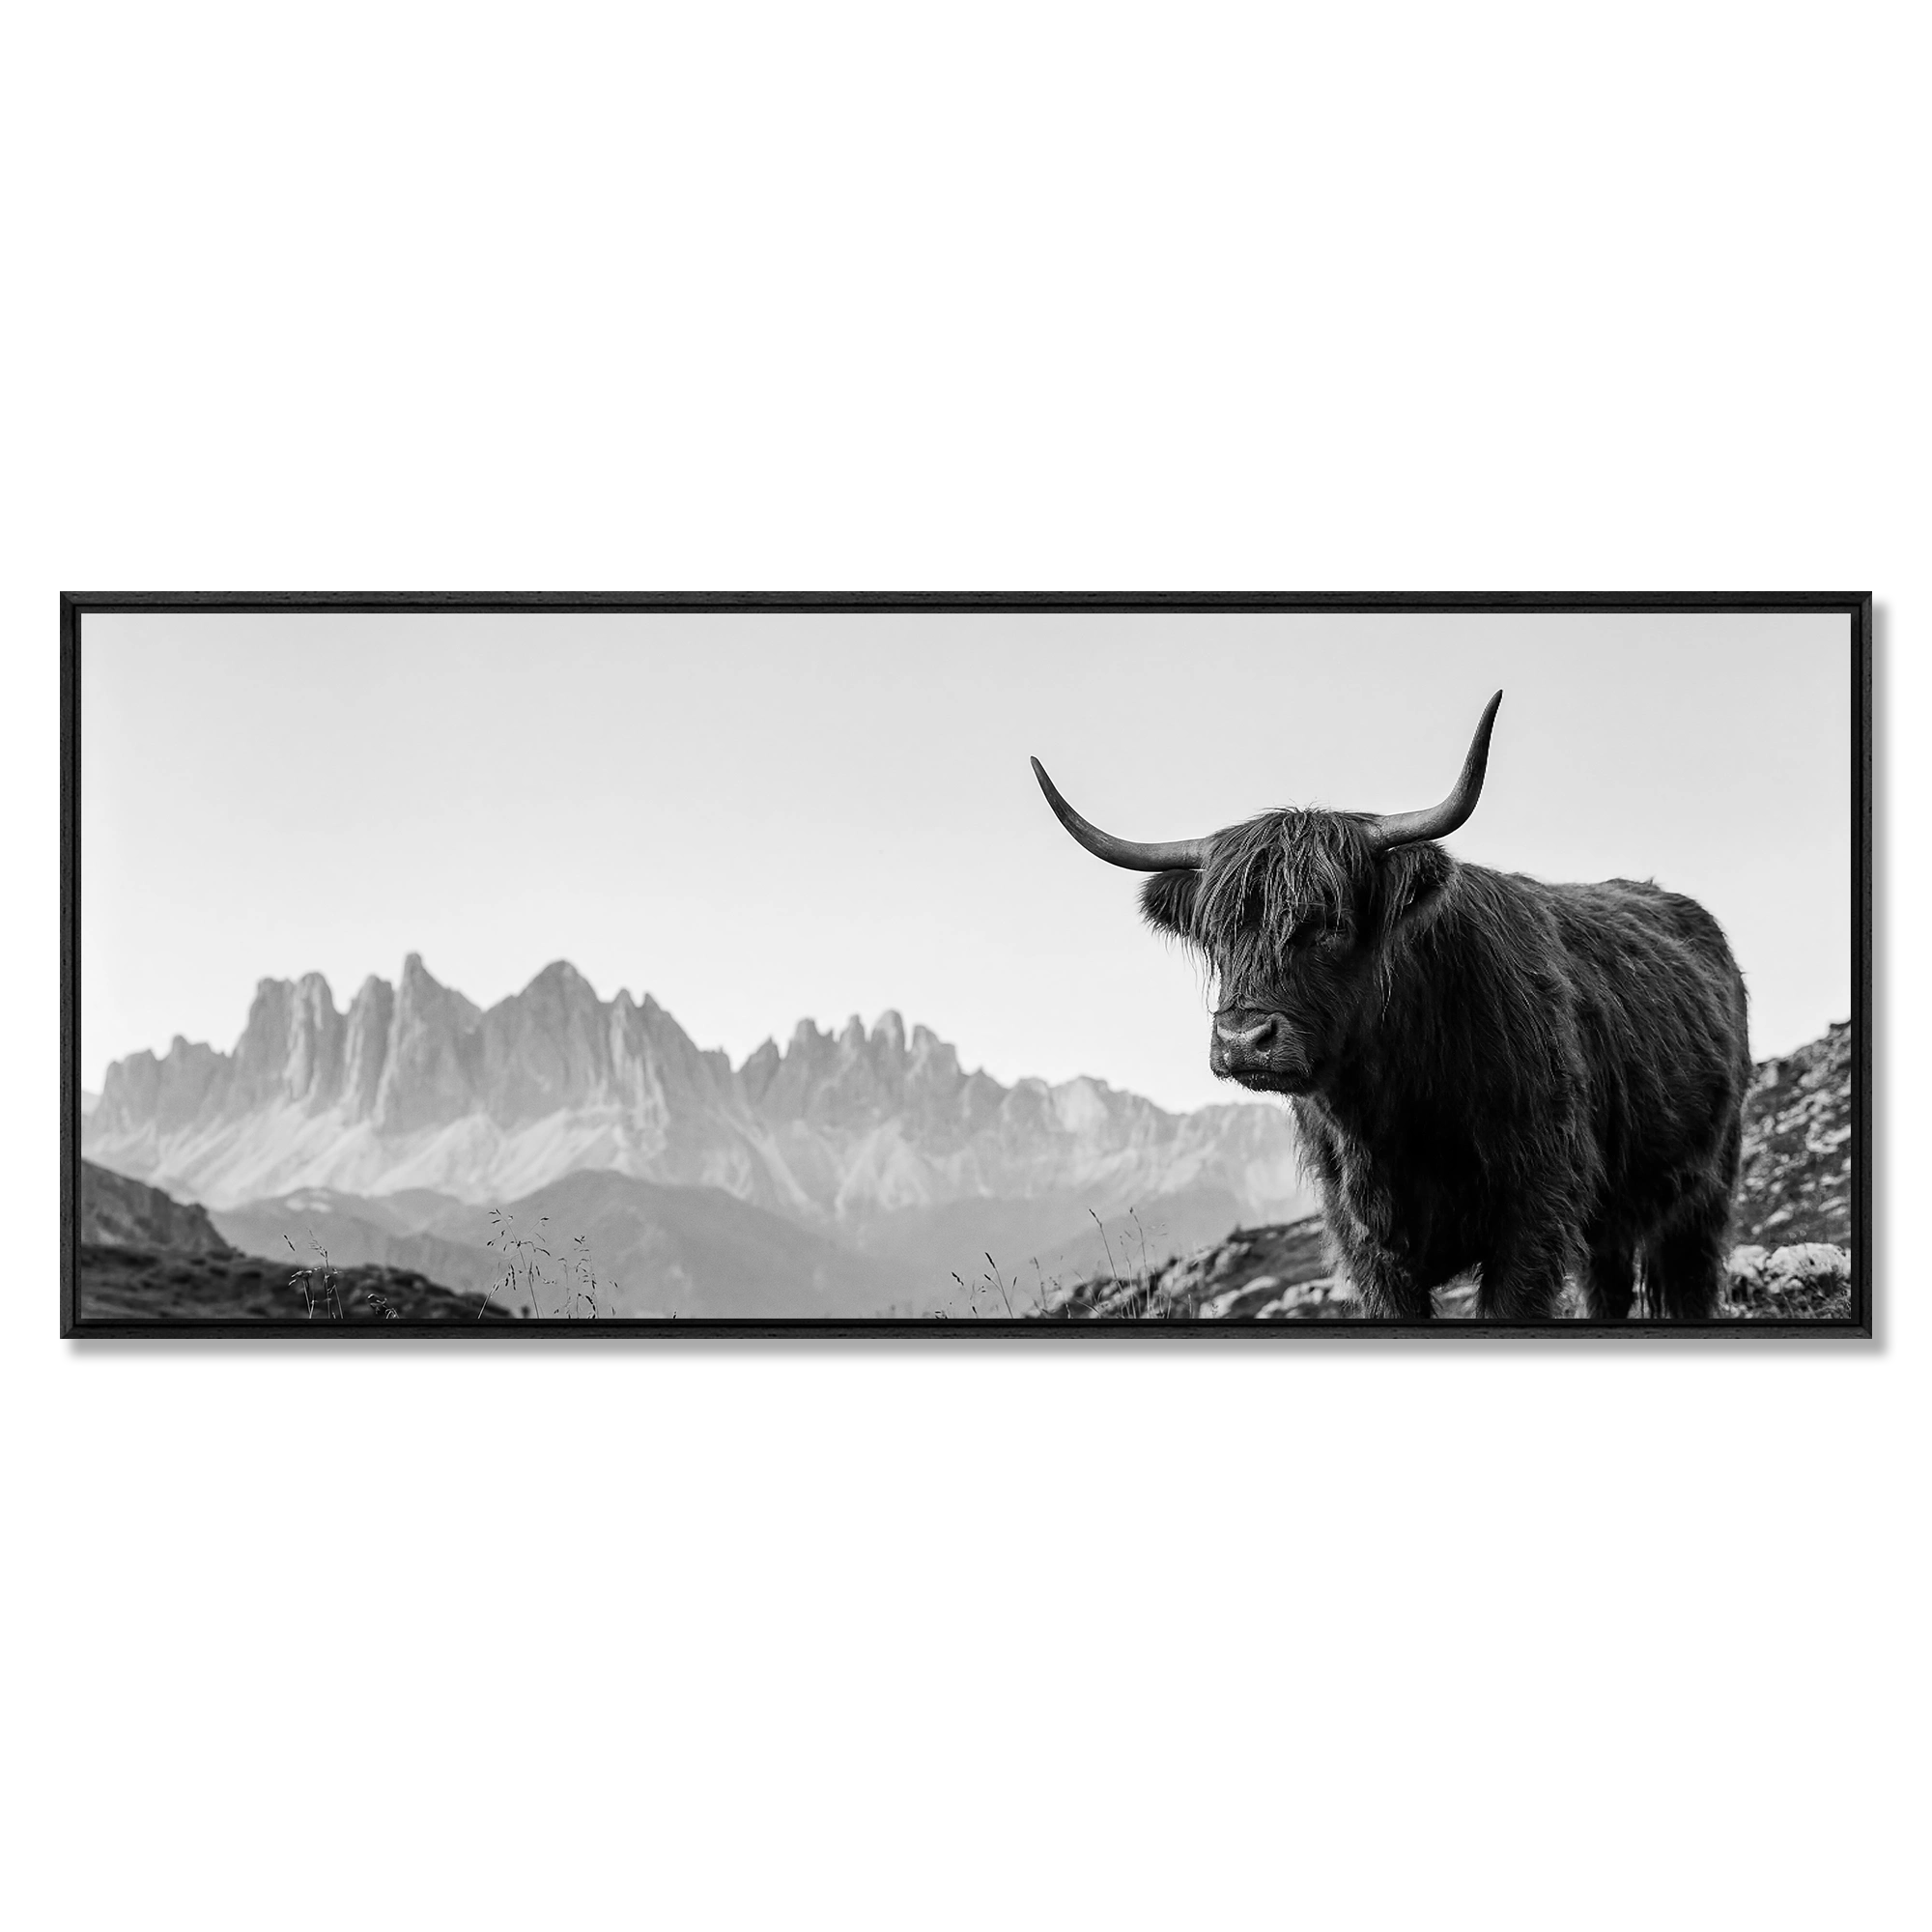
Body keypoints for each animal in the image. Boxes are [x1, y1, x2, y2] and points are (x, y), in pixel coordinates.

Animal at [1031, 693, 1752, 1320]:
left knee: (1686, 1279)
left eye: (1332, 924)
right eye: (1217, 933)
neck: (1389, 1113)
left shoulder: (1534, 1213)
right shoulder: (1366, 1244)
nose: (1243, 1039)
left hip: (1704, 1189)